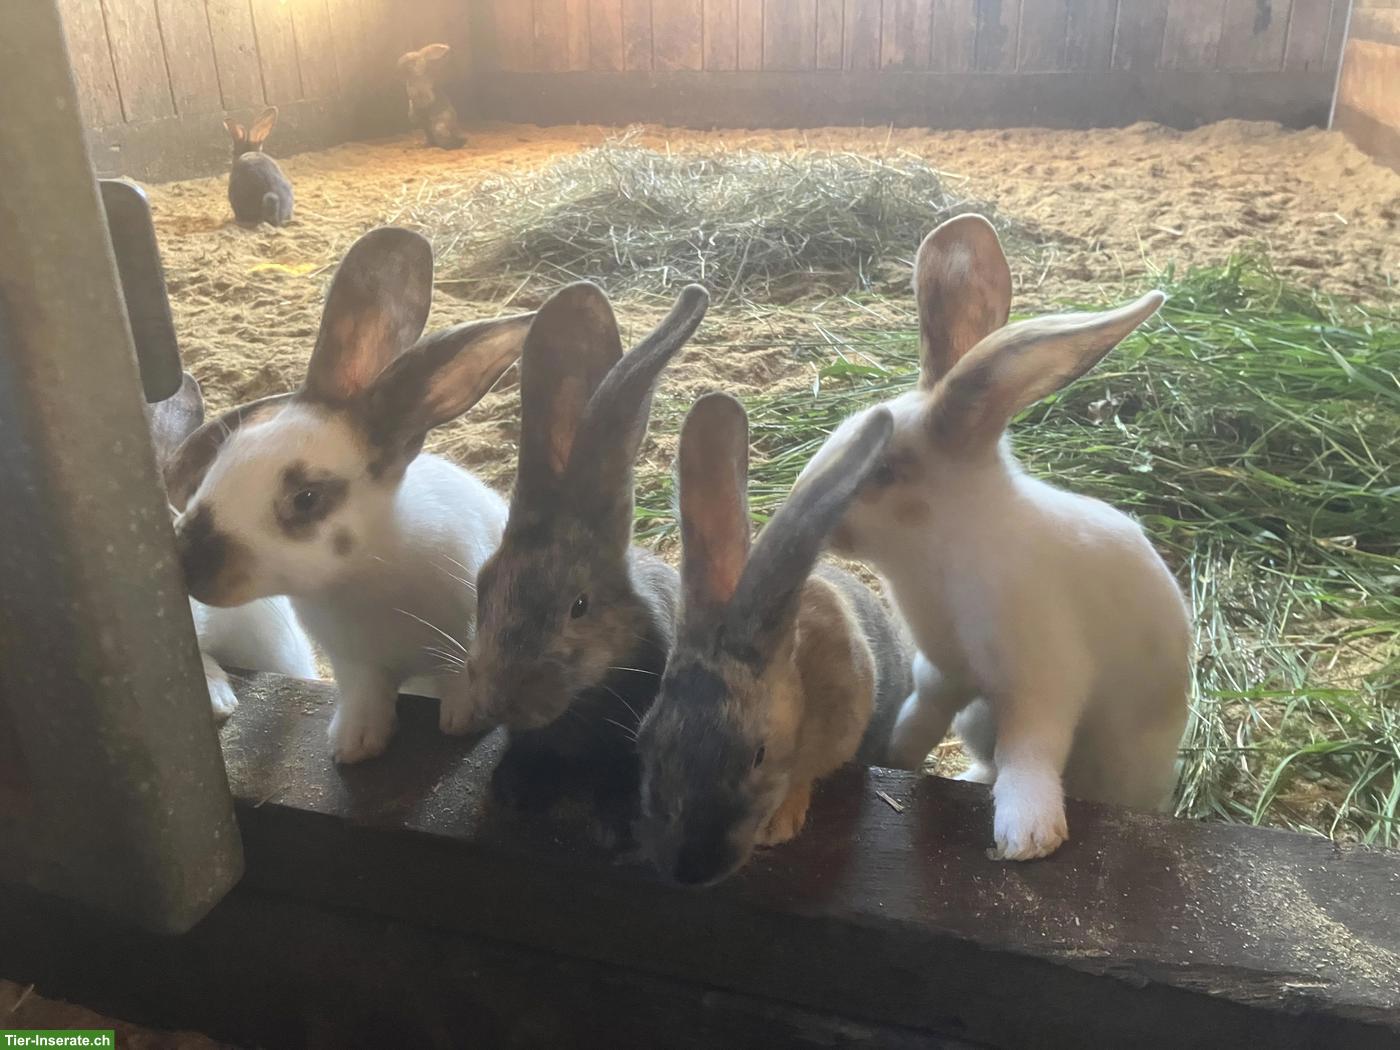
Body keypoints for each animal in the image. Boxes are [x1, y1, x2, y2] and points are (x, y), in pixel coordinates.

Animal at [797, 213, 1191, 861]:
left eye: (883, 471)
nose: (808, 511)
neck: (939, 554)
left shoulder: (1041, 681)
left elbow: (1029, 750)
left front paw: (1026, 836)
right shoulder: (944, 672)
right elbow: (920, 716)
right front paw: (894, 758)